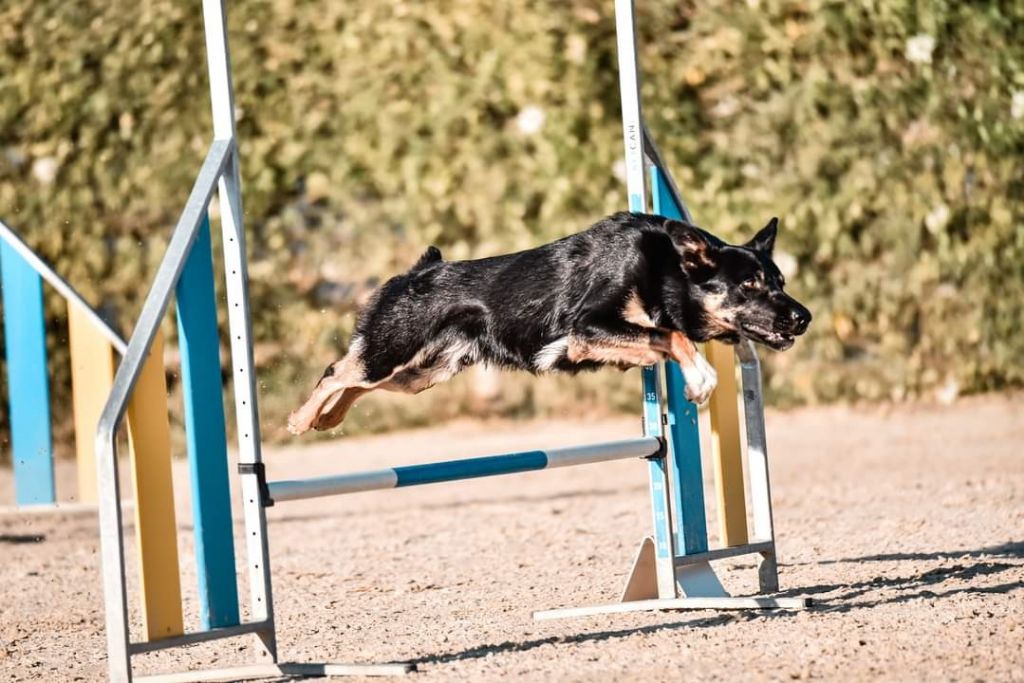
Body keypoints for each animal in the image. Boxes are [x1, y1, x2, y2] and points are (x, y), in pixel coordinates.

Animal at [286, 214, 806, 436]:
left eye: (779, 281)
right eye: (751, 284)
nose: (804, 317)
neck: (663, 266)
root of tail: (419, 270)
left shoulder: (589, 343)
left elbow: (663, 338)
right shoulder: (586, 327)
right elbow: (675, 336)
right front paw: (700, 380)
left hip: (420, 374)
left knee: (357, 384)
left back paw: (329, 418)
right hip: (391, 348)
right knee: (336, 372)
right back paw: (301, 418)